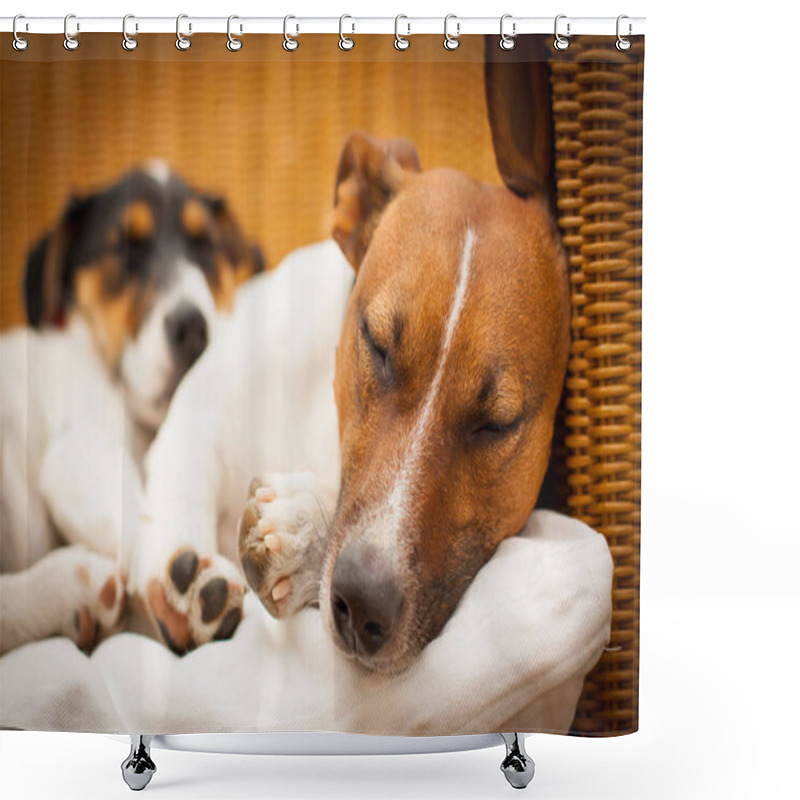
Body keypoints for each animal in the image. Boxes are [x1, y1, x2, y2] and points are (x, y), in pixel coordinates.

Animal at [0, 164, 262, 656]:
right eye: (124, 249)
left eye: (206, 247)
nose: (192, 328)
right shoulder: (78, 448)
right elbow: (142, 512)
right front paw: (184, 585)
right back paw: (70, 587)